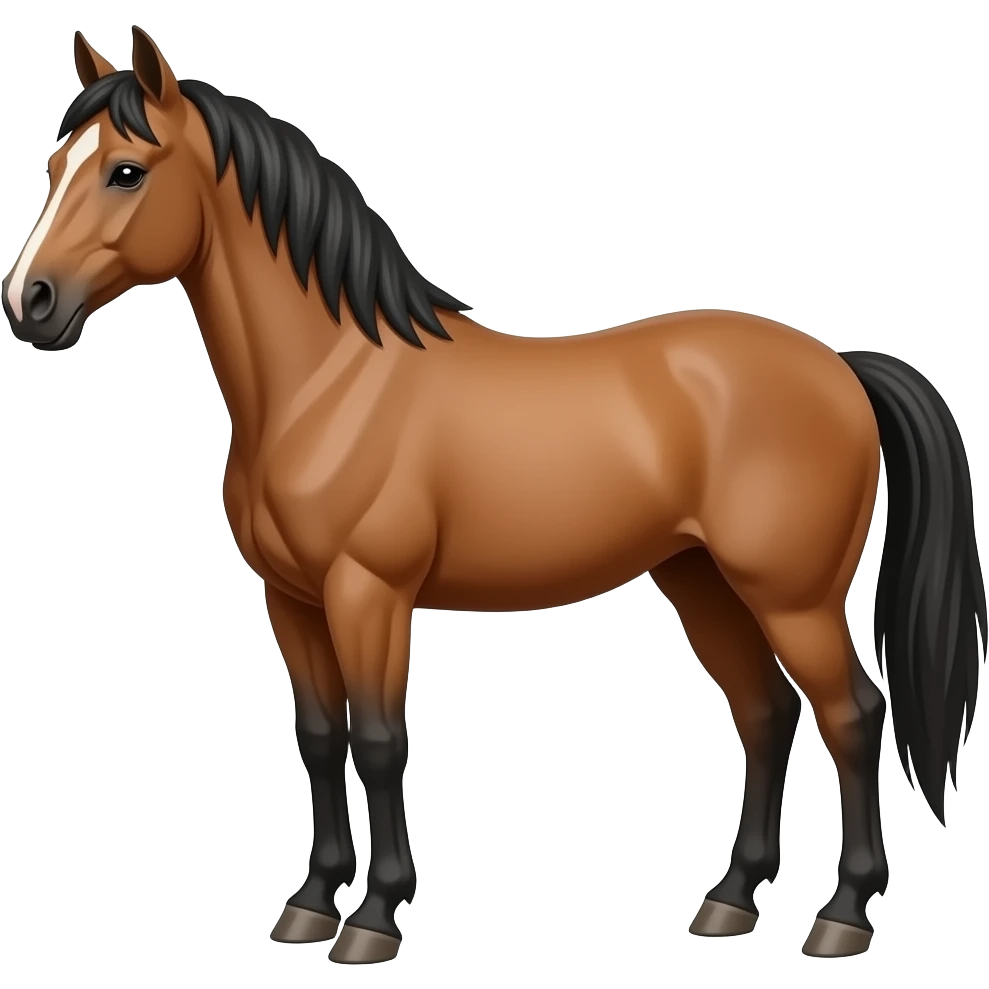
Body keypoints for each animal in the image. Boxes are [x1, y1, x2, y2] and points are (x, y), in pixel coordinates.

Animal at [3, 26, 985, 964]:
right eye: (55, 167)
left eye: (127, 171)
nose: (30, 302)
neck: (330, 380)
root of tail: (838, 366)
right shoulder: (291, 598)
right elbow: (318, 738)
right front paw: (310, 904)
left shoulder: (369, 593)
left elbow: (378, 740)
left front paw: (373, 919)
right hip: (701, 580)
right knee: (765, 714)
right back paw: (729, 900)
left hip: (791, 596)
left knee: (851, 715)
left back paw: (842, 915)